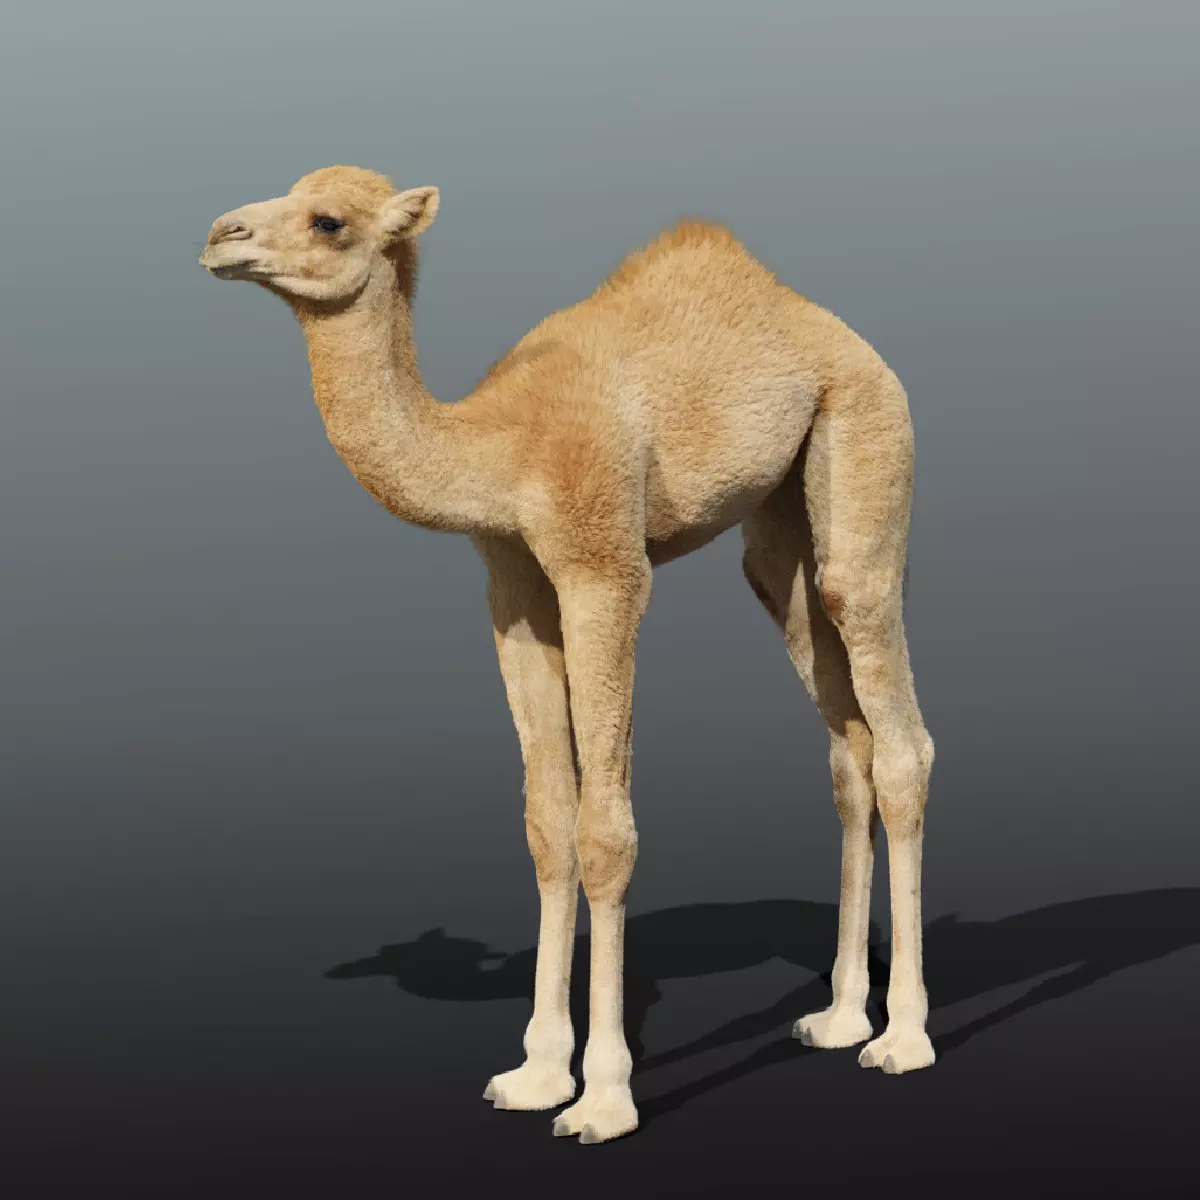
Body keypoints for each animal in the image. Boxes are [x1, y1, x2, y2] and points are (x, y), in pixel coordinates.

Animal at [198, 165, 936, 1144]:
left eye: (328, 220)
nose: (220, 234)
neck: (498, 446)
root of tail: (839, 333)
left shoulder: (603, 570)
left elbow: (604, 831)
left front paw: (604, 1098)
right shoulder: (513, 589)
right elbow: (547, 824)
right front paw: (537, 1072)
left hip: (865, 437)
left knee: (898, 730)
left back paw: (903, 1038)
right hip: (778, 540)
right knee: (846, 744)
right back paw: (842, 1015)